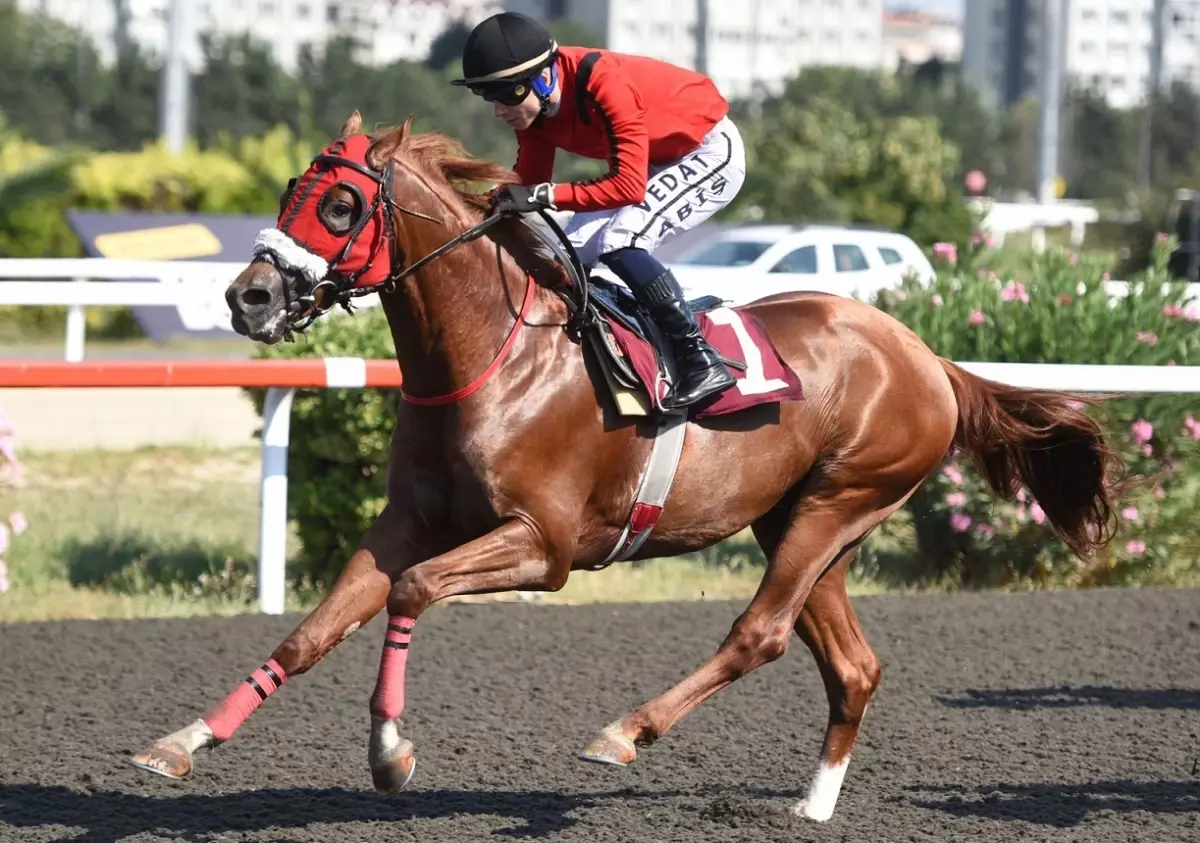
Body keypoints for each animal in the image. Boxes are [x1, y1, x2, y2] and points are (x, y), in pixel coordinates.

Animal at [133, 114, 1123, 826]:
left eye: (340, 205)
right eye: (289, 190)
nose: (248, 296)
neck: (490, 357)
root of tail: (926, 355)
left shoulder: (544, 545)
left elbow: (413, 591)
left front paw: (389, 753)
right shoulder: (406, 522)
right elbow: (312, 631)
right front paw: (182, 740)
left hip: (839, 502)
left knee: (760, 634)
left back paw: (625, 732)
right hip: (804, 519)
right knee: (852, 665)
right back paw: (811, 804)